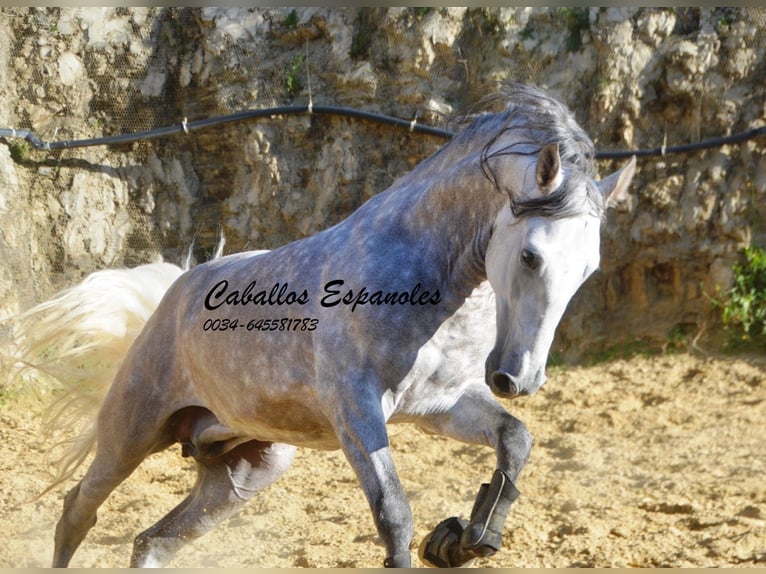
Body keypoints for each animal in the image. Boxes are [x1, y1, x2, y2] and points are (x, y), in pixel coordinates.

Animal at [49, 83, 636, 568]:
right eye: (532, 256)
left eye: (588, 269)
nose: (519, 378)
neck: (427, 279)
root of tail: (176, 292)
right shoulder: (356, 408)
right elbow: (394, 516)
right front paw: (444, 539)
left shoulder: (440, 407)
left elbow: (516, 439)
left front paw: (463, 540)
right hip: (131, 434)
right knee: (78, 509)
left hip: (243, 471)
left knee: (154, 542)